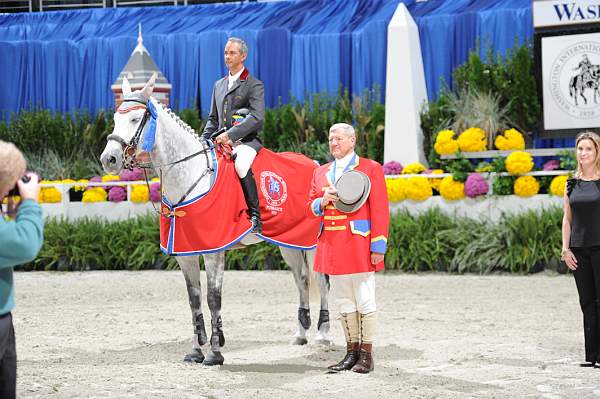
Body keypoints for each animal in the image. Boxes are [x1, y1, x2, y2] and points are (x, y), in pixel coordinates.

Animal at [100, 74, 330, 366]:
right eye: (115, 118)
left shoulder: (214, 251)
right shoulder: (184, 252)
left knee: (321, 280)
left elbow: (213, 298)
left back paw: (323, 335)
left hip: (312, 243)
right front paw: (196, 350)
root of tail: (314, 163)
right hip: (288, 242)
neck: (190, 175)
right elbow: (194, 299)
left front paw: (215, 351)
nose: (109, 159)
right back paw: (300, 333)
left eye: (134, 119)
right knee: (301, 279)